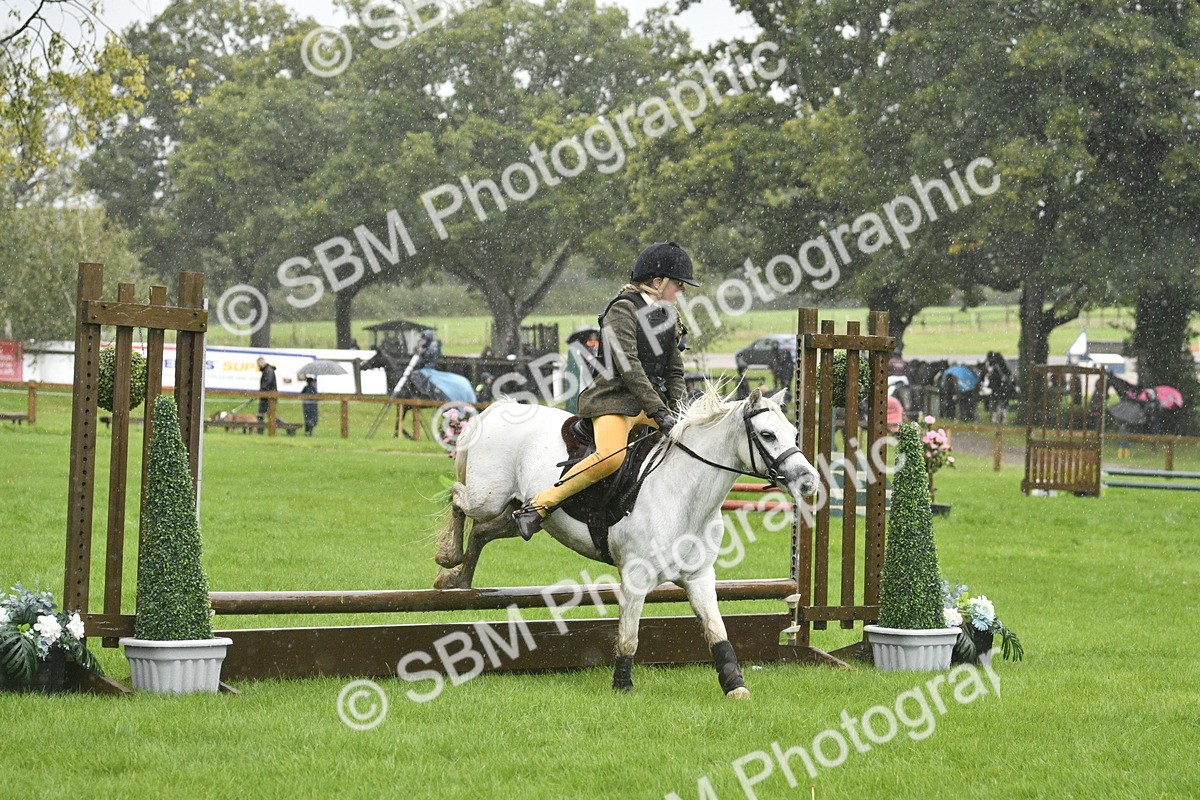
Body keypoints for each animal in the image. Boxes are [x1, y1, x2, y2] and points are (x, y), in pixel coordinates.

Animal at [433, 386, 820, 698]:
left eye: (794, 432)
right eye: (767, 434)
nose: (809, 481)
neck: (684, 492)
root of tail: (498, 409)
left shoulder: (699, 577)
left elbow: (717, 631)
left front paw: (735, 685)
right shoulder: (635, 577)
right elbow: (629, 636)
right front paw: (623, 685)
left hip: (519, 514)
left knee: (483, 531)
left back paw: (457, 579)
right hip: (488, 497)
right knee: (457, 498)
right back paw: (447, 556)